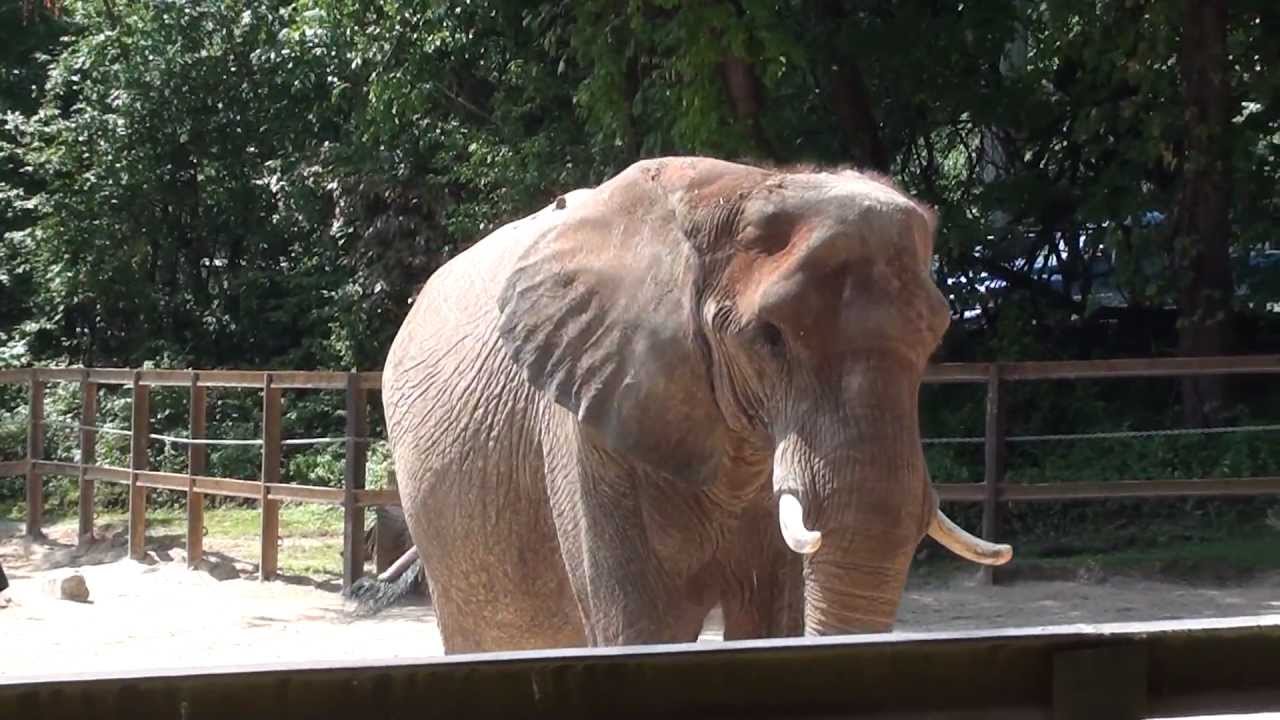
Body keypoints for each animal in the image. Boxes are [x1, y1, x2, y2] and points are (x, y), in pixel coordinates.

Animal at [372, 156, 1011, 654]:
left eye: (936, 337)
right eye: (769, 339)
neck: (742, 186)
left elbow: (772, 622)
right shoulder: (591, 425)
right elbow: (643, 628)